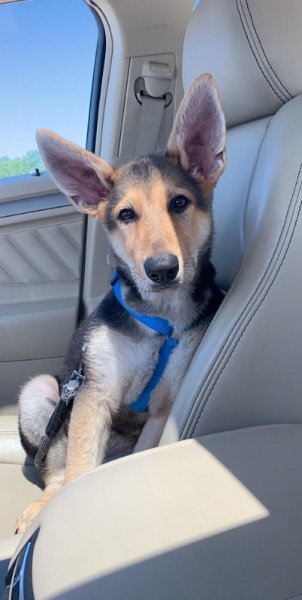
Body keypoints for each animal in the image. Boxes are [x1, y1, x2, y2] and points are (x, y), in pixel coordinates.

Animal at [16, 74, 224, 528]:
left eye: (179, 202)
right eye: (126, 215)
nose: (162, 269)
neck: (157, 317)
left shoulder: (163, 408)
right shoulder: (93, 396)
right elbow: (76, 475)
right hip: (48, 396)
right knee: (56, 474)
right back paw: (40, 507)